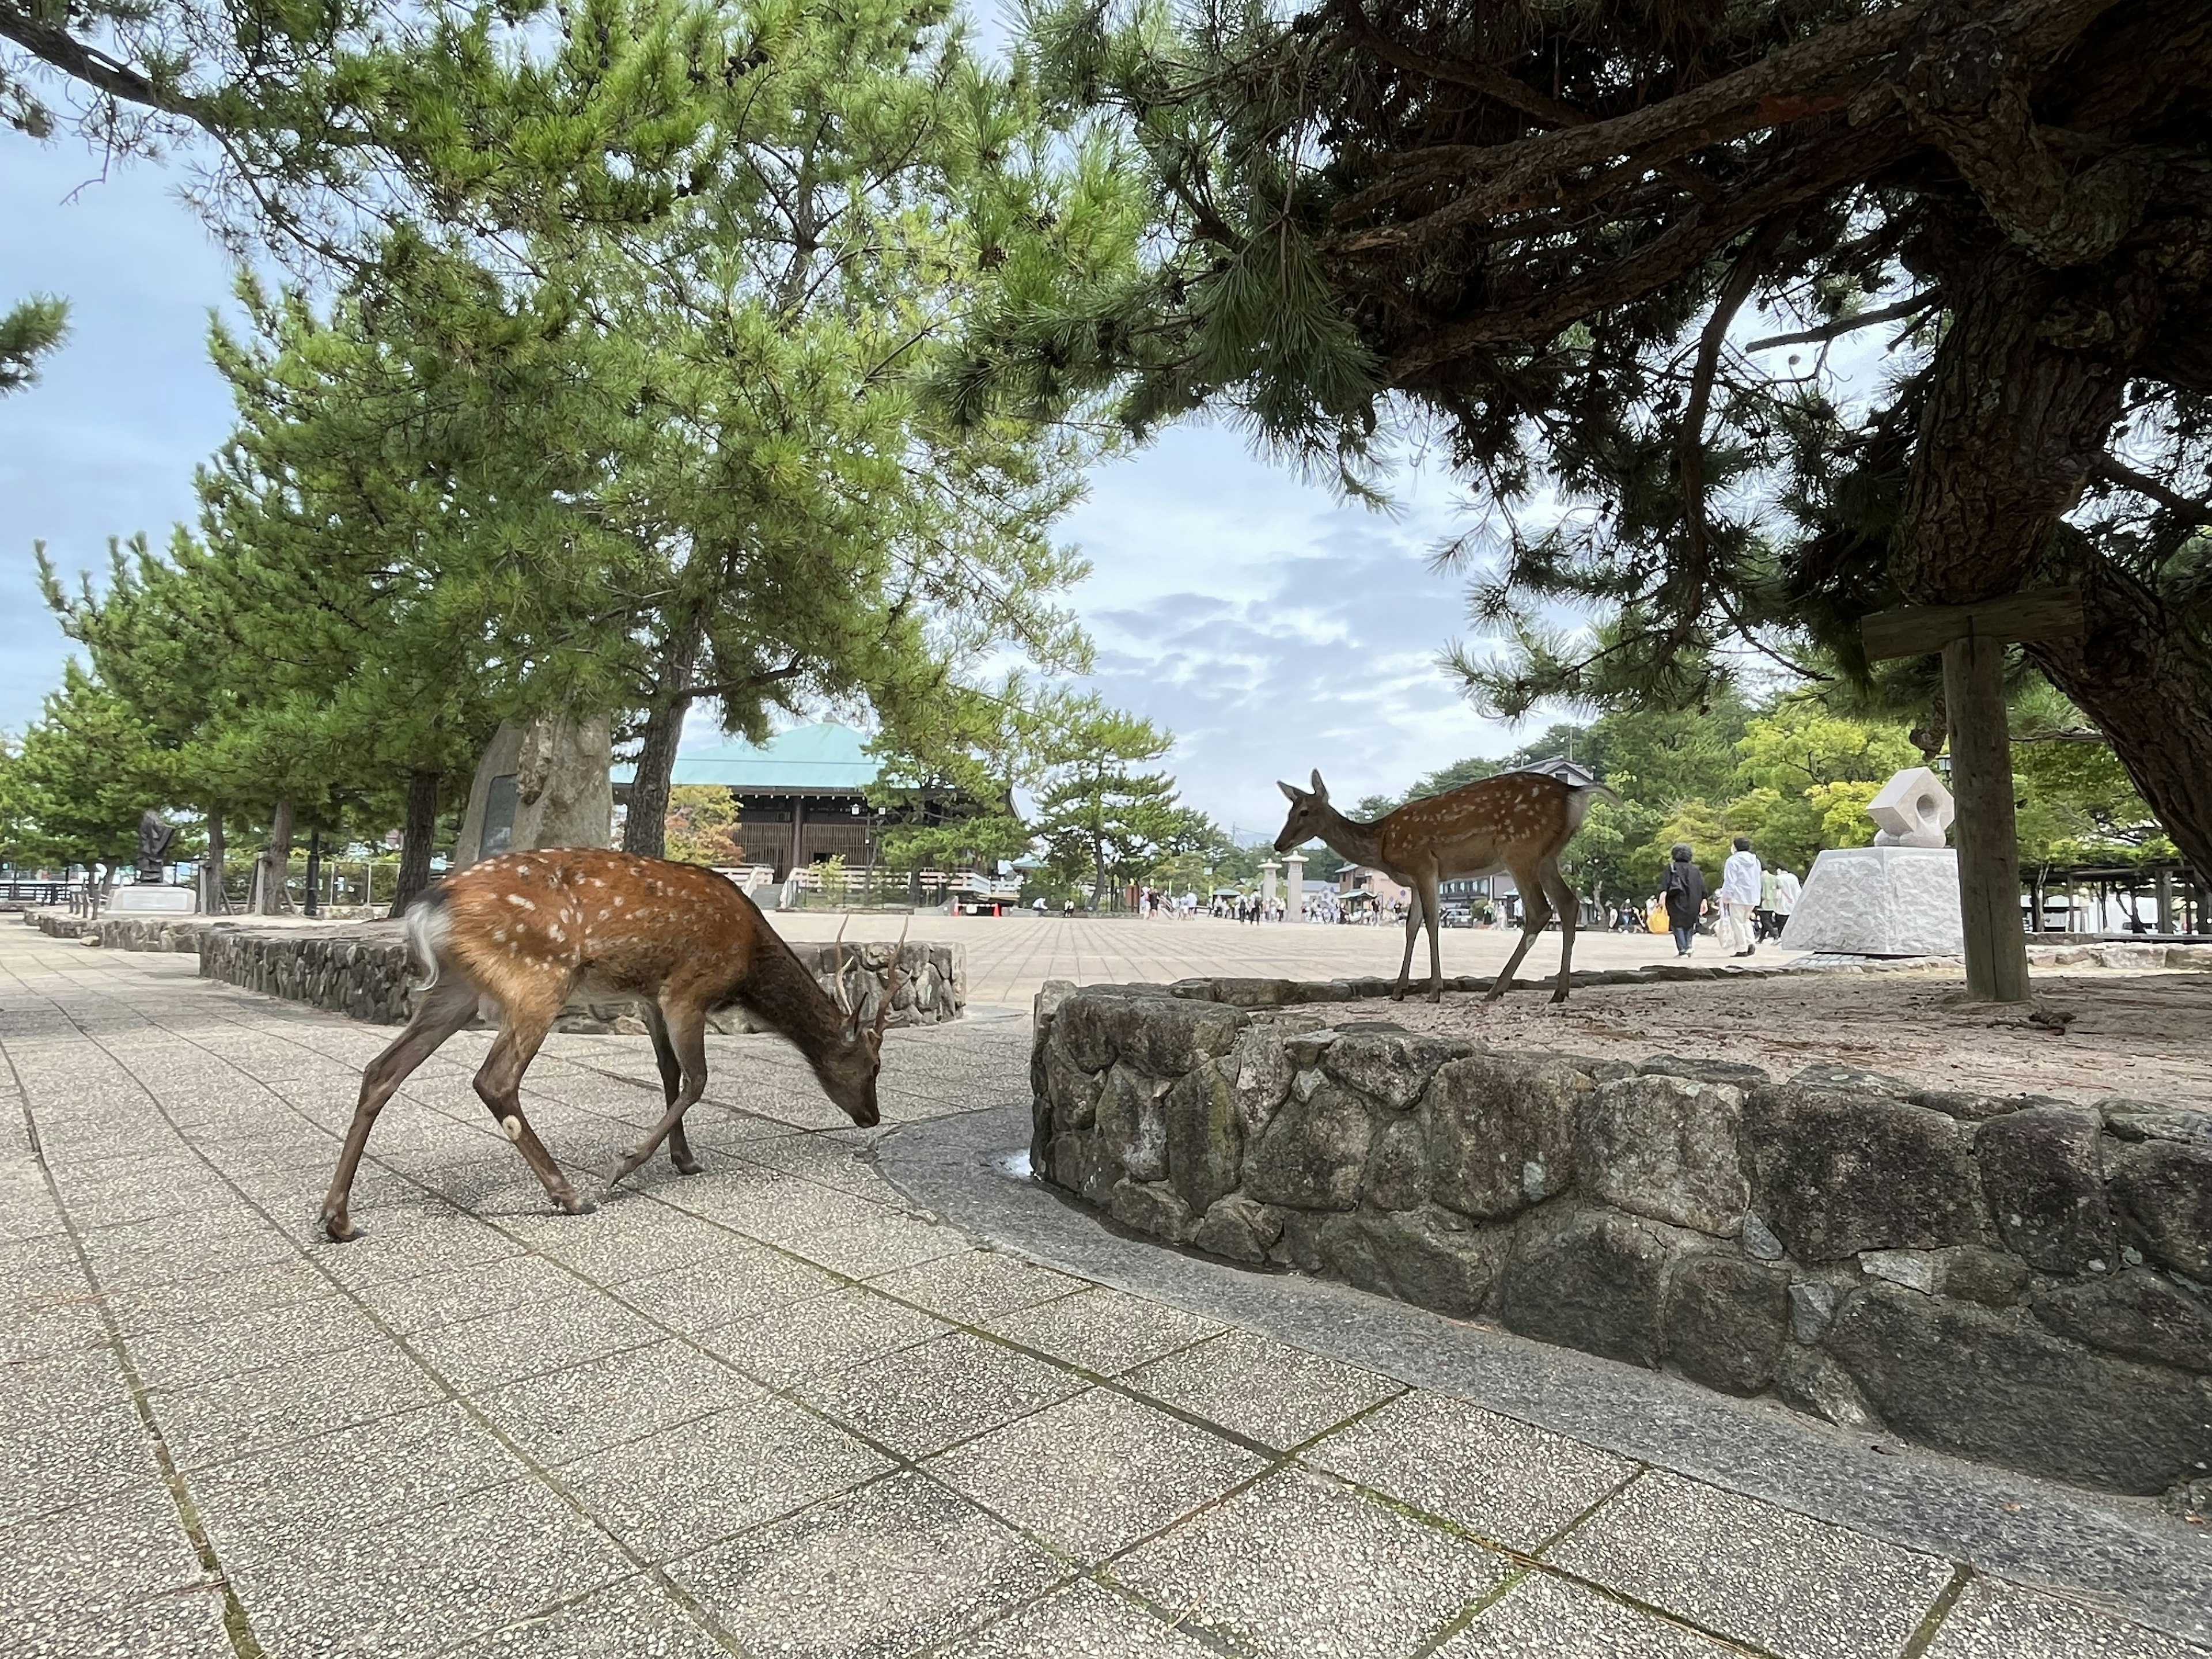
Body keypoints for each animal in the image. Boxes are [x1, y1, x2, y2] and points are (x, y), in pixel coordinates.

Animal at [316, 849, 902, 1238]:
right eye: (873, 1065)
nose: (872, 1117)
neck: (747, 968)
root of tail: (427, 910)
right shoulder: (688, 987)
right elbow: (698, 1080)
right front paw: (624, 1167)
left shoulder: (649, 996)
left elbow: (669, 1073)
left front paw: (684, 1159)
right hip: (536, 978)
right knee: (494, 1080)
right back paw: (570, 1195)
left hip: (456, 990)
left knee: (381, 1069)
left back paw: (337, 1218)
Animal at [1274, 774, 1619, 1009]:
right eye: (1288, 811)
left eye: (1305, 812)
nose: (1279, 844)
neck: (1381, 844)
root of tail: (1574, 792)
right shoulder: (1415, 880)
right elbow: (1411, 927)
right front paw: (1399, 990)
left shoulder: (1424, 865)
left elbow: (1431, 922)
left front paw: (1435, 990)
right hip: (1548, 856)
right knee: (1569, 903)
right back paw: (1559, 992)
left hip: (1520, 847)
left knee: (1540, 910)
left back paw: (1496, 990)